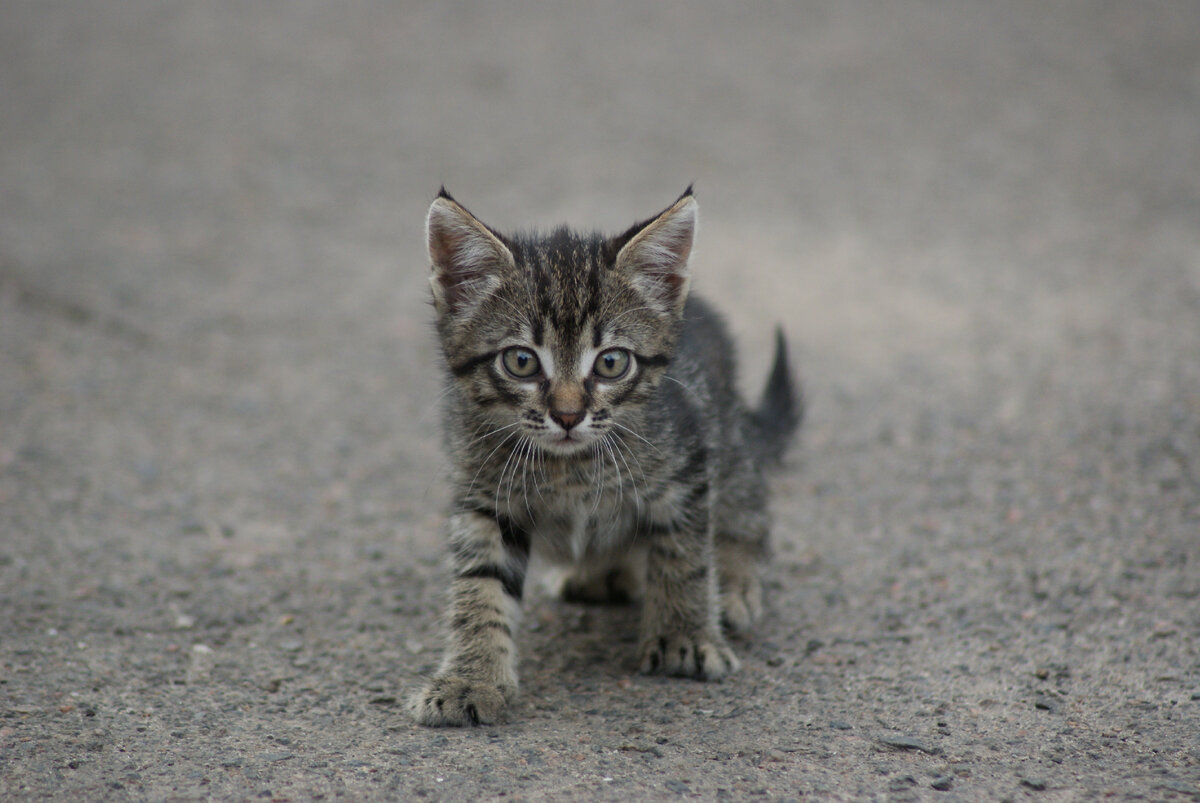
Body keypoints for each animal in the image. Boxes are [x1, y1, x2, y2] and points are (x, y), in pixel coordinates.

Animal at [408, 188, 801, 724]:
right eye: (521, 361)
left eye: (611, 363)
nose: (568, 415)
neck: (568, 467)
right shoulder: (484, 493)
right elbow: (480, 584)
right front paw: (471, 679)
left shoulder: (687, 466)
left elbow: (684, 555)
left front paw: (685, 637)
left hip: (731, 441)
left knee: (749, 514)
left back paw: (734, 583)